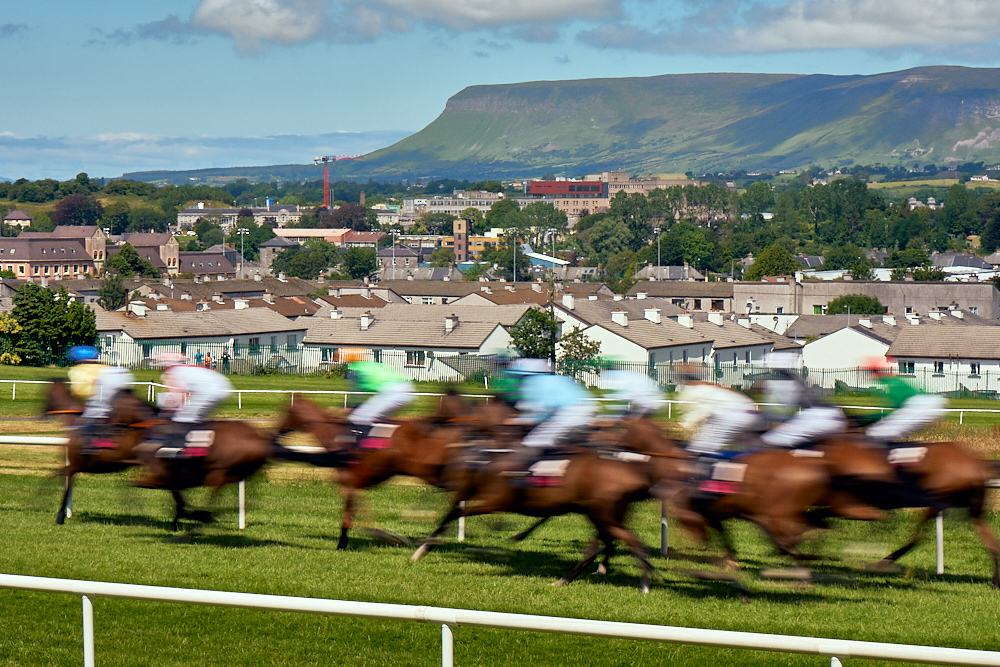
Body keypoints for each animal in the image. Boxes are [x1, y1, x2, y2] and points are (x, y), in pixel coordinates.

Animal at [406, 418, 688, 596]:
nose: (438, 474)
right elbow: (457, 511)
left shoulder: (497, 499)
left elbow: (457, 511)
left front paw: (422, 548)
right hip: (602, 515)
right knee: (603, 546)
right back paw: (570, 578)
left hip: (603, 514)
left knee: (624, 544)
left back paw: (641, 583)